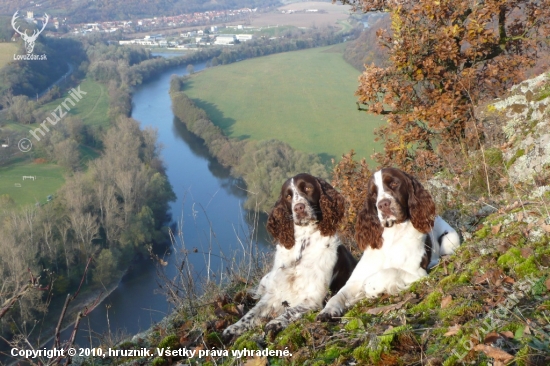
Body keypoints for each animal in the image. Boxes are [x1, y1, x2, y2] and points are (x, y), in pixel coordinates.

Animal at [223, 173, 358, 338]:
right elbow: (252, 312)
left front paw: (275, 323)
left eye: (307, 188)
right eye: (288, 196)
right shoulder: (274, 293)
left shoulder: (313, 298)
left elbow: (290, 311)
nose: (298, 207)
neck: (302, 246)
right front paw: (233, 328)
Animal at [316, 169, 460, 320]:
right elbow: (338, 295)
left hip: (450, 238)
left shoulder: (417, 273)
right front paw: (328, 311)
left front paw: (370, 287)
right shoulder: (355, 279)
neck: (392, 236)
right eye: (373, 193)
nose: (383, 204)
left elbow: (389, 271)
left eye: (394, 184)